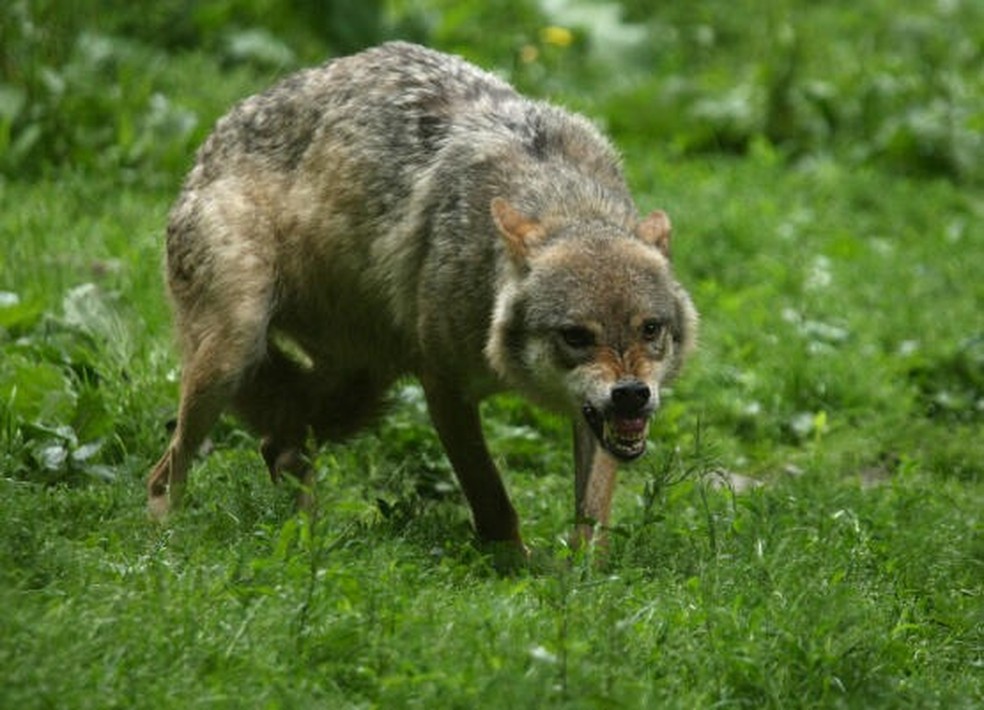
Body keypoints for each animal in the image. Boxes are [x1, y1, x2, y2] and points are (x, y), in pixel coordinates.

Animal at [148, 41, 700, 556]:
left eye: (650, 329)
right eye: (576, 336)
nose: (631, 393)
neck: (561, 199)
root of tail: (209, 146)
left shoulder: (598, 419)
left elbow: (593, 513)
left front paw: (583, 575)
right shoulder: (444, 387)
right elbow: (492, 499)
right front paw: (517, 570)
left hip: (361, 391)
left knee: (280, 446)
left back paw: (305, 536)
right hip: (236, 352)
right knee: (167, 469)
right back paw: (167, 539)